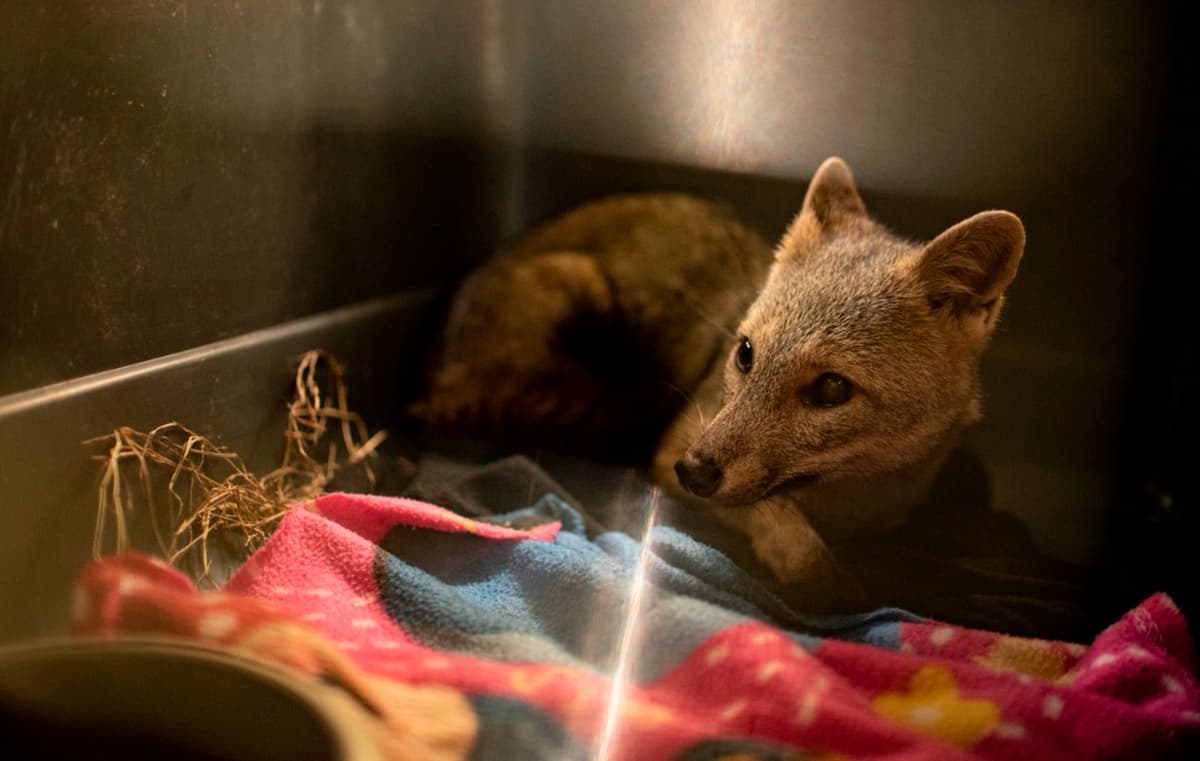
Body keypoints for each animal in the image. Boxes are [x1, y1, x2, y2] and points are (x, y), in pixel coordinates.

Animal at [412, 157, 1022, 607]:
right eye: (746, 353)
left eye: (832, 389)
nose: (695, 471)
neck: (849, 502)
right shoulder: (677, 446)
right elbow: (783, 521)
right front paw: (821, 581)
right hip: (580, 286)